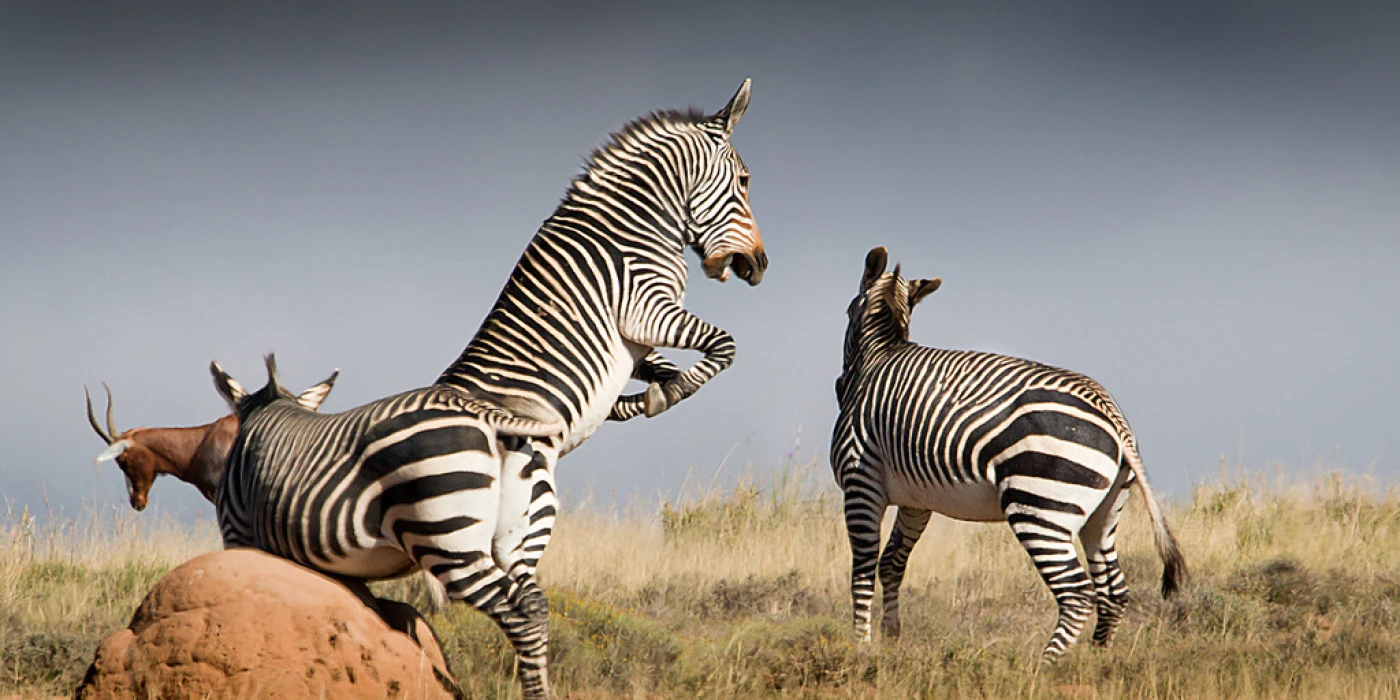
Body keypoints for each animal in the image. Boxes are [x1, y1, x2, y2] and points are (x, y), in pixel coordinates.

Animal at [215, 79, 767, 697]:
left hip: (520, 517)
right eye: (745, 181)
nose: (758, 265)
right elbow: (724, 345)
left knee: (522, 599)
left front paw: (637, 401)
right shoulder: (644, 309)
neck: (633, 227)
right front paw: (662, 396)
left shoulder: (638, 339)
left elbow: (668, 367)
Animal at [834, 249, 1187, 663]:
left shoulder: (861, 482)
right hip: (1103, 512)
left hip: (1040, 505)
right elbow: (892, 563)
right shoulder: (917, 501)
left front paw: (860, 647)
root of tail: (1112, 415)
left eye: (846, 310)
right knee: (1113, 592)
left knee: (1077, 594)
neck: (877, 357)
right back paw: (1097, 661)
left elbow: (862, 569)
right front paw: (891, 638)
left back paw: (1043, 666)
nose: (838, 387)